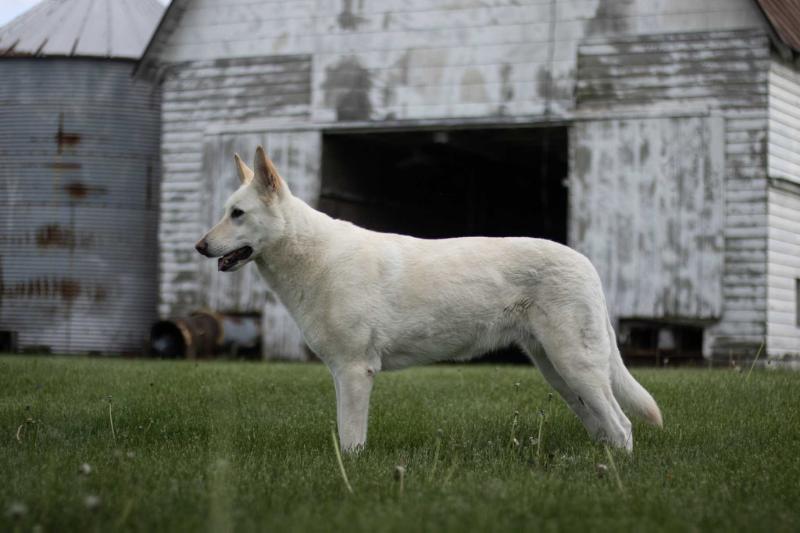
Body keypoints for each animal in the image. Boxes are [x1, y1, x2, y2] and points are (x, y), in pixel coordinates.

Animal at [195, 147, 664, 454]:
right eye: (225, 211)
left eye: (237, 214)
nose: (199, 246)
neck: (312, 256)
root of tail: (587, 264)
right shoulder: (341, 373)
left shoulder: (355, 370)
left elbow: (351, 440)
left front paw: (350, 475)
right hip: (559, 372)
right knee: (603, 427)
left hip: (575, 365)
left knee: (622, 426)